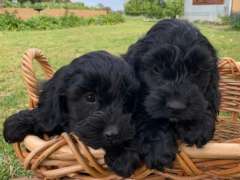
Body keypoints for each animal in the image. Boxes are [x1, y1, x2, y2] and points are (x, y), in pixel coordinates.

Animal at [3, 50, 142, 177]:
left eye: (126, 99)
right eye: (90, 97)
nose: (113, 134)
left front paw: (121, 154)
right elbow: (47, 116)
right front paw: (17, 123)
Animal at [124, 19, 219, 170]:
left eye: (196, 71)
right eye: (157, 69)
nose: (176, 106)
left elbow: (206, 100)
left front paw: (195, 125)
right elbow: (147, 114)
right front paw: (158, 149)